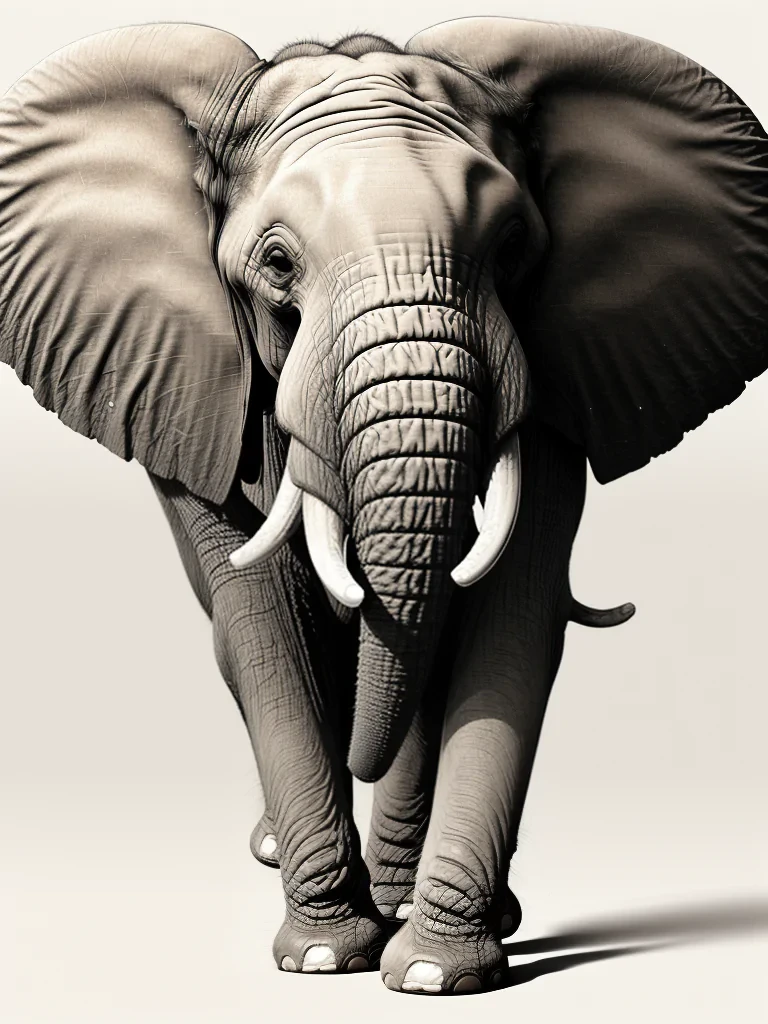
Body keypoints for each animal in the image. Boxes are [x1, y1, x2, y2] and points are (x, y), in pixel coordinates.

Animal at [1, 15, 767, 996]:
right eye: (277, 263)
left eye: (511, 251)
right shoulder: (175, 373)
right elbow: (263, 621)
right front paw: (328, 956)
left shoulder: (560, 368)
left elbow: (511, 611)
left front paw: (435, 970)